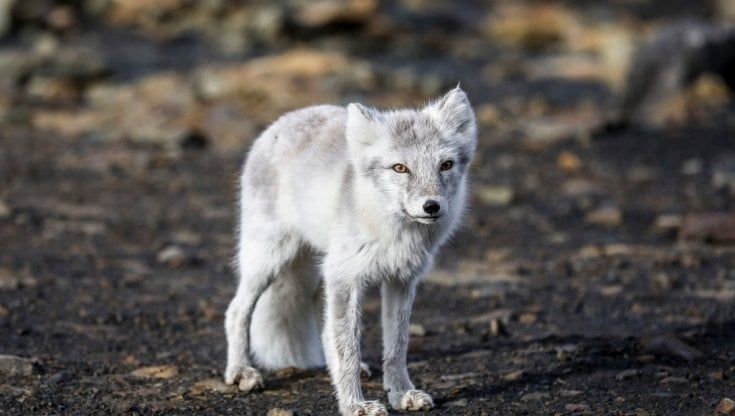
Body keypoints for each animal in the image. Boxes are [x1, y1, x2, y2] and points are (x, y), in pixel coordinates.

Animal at [224, 86, 477, 416]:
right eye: (400, 168)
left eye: (445, 165)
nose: (431, 206)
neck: (394, 231)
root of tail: (284, 121)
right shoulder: (346, 278)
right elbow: (348, 349)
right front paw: (354, 405)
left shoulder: (401, 280)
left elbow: (396, 345)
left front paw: (401, 394)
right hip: (269, 259)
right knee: (237, 311)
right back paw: (241, 371)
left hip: (317, 268)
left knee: (323, 330)